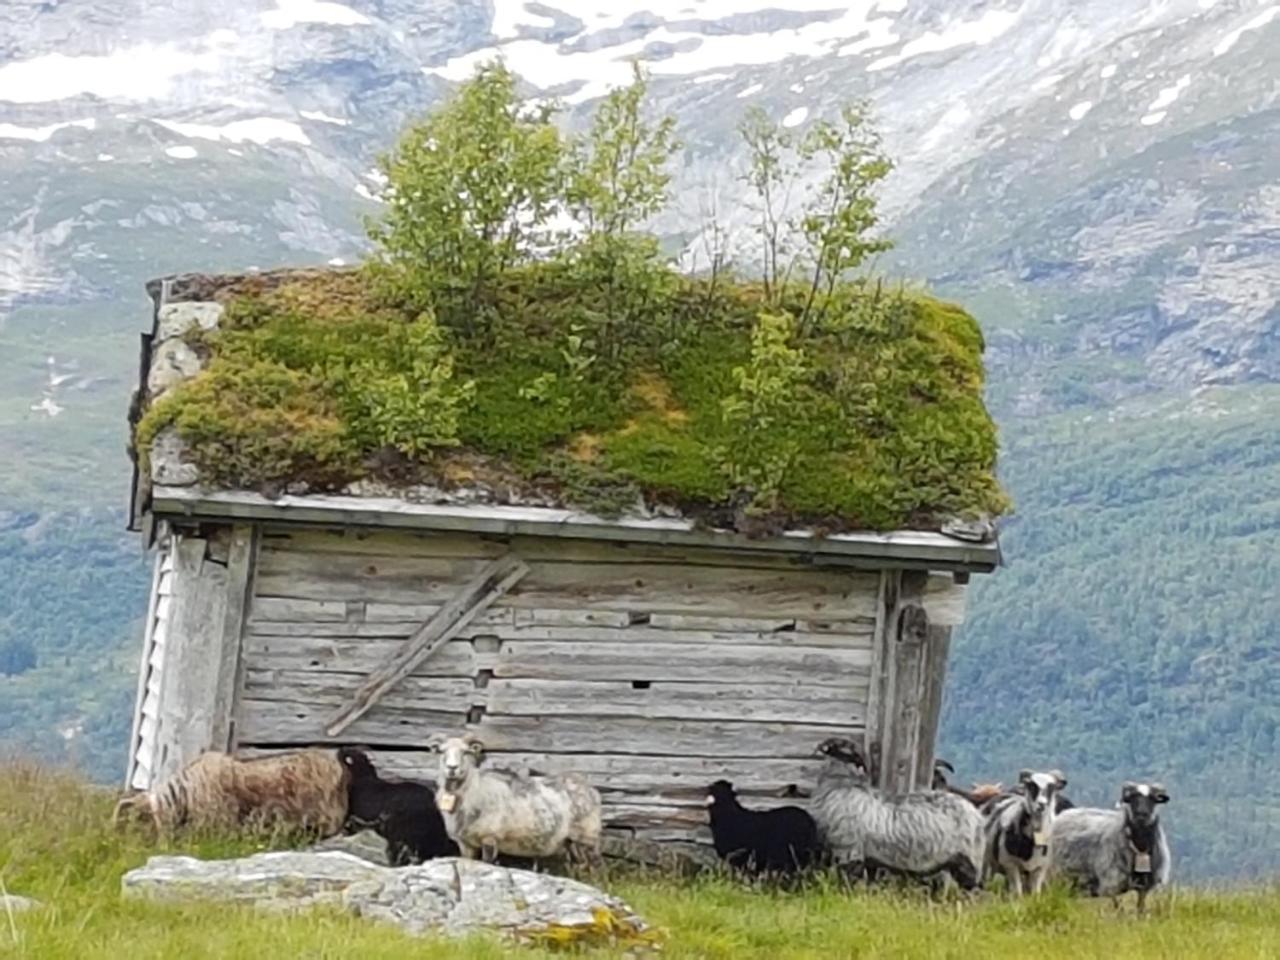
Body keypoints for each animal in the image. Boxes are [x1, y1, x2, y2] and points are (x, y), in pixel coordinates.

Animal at [432, 737, 601, 865]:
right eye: (442, 751)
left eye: (466, 752)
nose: (452, 768)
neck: (475, 788)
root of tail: (592, 791)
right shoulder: (465, 844)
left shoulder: (489, 838)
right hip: (571, 843)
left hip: (587, 838)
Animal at [814, 742, 983, 890]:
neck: (841, 786)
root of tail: (975, 813)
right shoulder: (869, 860)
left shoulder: (850, 852)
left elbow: (848, 882)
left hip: (968, 861)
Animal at [977, 773, 1070, 901]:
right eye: (1031, 785)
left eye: (1052, 787)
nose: (1042, 804)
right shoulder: (1010, 865)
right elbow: (1018, 893)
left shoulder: (1040, 868)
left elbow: (1035, 893)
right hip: (985, 862)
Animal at [1049, 778, 1172, 911]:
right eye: (1131, 798)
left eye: (1153, 798)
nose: (1141, 814)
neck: (1140, 847)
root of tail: (1060, 816)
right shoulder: (1111, 883)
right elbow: (1119, 909)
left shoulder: (1144, 887)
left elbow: (1140, 909)